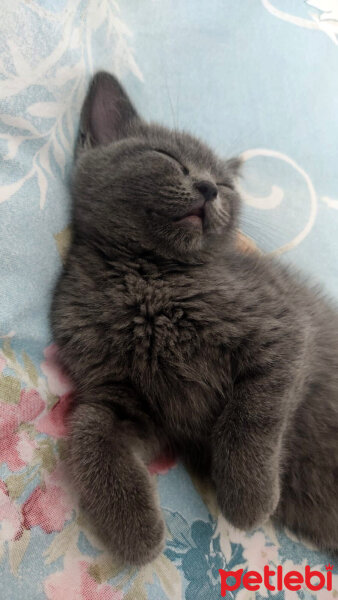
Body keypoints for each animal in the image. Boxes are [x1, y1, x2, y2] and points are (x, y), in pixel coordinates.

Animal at [50, 72, 338, 564]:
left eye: (225, 184)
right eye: (166, 157)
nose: (208, 188)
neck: (148, 280)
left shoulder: (283, 324)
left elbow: (253, 412)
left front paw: (247, 496)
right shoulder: (120, 392)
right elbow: (89, 426)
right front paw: (133, 529)